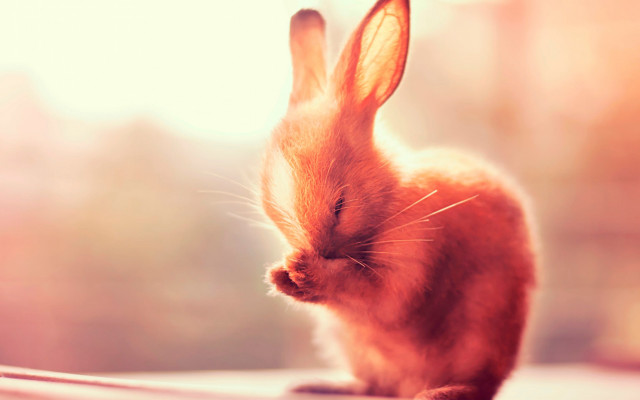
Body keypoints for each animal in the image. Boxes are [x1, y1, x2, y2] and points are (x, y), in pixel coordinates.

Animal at [259, 0, 536, 399]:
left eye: (340, 205)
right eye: (272, 213)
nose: (319, 251)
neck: (388, 198)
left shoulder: (407, 267)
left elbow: (377, 298)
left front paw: (304, 270)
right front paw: (281, 275)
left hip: (482, 330)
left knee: (480, 384)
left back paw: (438, 393)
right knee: (375, 386)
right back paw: (320, 386)